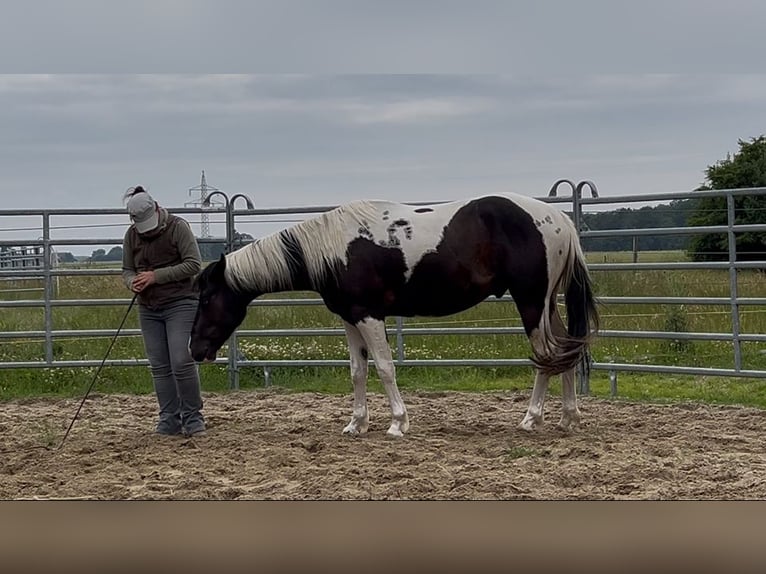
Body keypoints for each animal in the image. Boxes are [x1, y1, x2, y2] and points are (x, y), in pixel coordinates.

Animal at [190, 192, 599, 437]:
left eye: (207, 298)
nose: (195, 349)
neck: (335, 248)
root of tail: (559, 218)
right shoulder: (350, 318)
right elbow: (357, 371)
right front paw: (356, 424)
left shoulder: (370, 316)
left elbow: (385, 367)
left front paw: (398, 423)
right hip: (546, 304)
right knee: (564, 350)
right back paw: (568, 417)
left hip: (531, 302)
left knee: (546, 355)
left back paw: (532, 418)